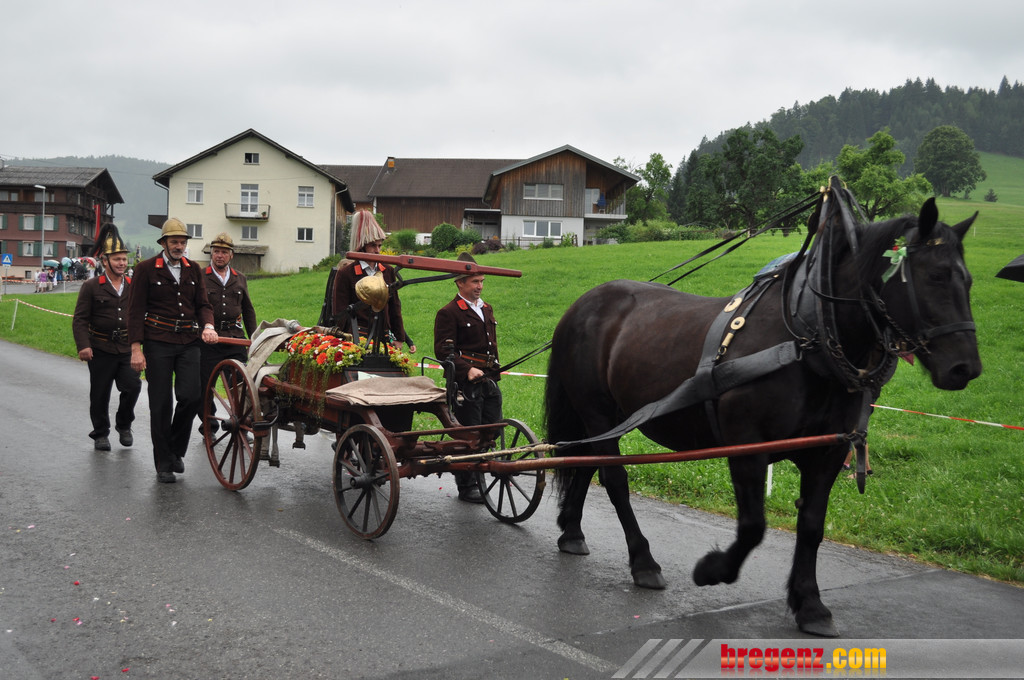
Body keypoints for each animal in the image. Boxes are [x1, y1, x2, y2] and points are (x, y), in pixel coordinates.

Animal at [544, 182, 981, 637]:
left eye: (968, 280)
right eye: (935, 276)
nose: (964, 367)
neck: (808, 339)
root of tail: (582, 304)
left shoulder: (827, 452)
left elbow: (811, 526)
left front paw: (810, 604)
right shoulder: (748, 447)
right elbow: (754, 526)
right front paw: (712, 569)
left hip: (609, 419)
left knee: (585, 463)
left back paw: (572, 532)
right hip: (597, 411)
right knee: (614, 480)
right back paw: (643, 561)